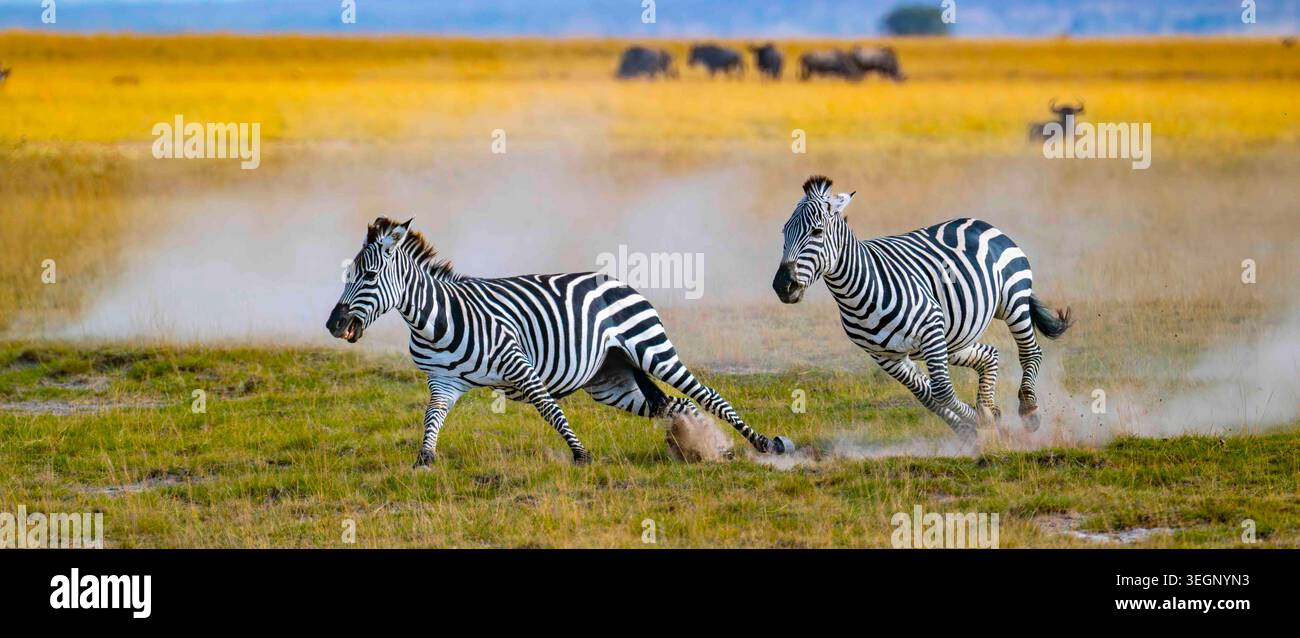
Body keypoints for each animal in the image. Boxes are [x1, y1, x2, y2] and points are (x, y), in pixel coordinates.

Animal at [326, 217, 792, 467]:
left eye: (369, 276)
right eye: (348, 275)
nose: (334, 324)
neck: (433, 321)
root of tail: (617, 280)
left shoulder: (517, 363)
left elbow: (549, 409)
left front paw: (580, 455)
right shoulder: (443, 380)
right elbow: (431, 419)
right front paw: (424, 460)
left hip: (651, 349)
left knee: (708, 395)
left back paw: (764, 444)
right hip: (612, 380)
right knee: (673, 405)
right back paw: (705, 448)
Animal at [771, 176, 1072, 442]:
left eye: (817, 231)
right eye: (784, 232)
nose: (782, 285)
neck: (857, 293)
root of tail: (978, 222)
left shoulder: (930, 326)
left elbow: (941, 391)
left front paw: (981, 420)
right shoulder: (884, 356)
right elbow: (928, 398)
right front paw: (973, 426)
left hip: (1012, 299)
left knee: (1031, 351)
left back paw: (1028, 409)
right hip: (954, 336)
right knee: (989, 353)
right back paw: (989, 404)